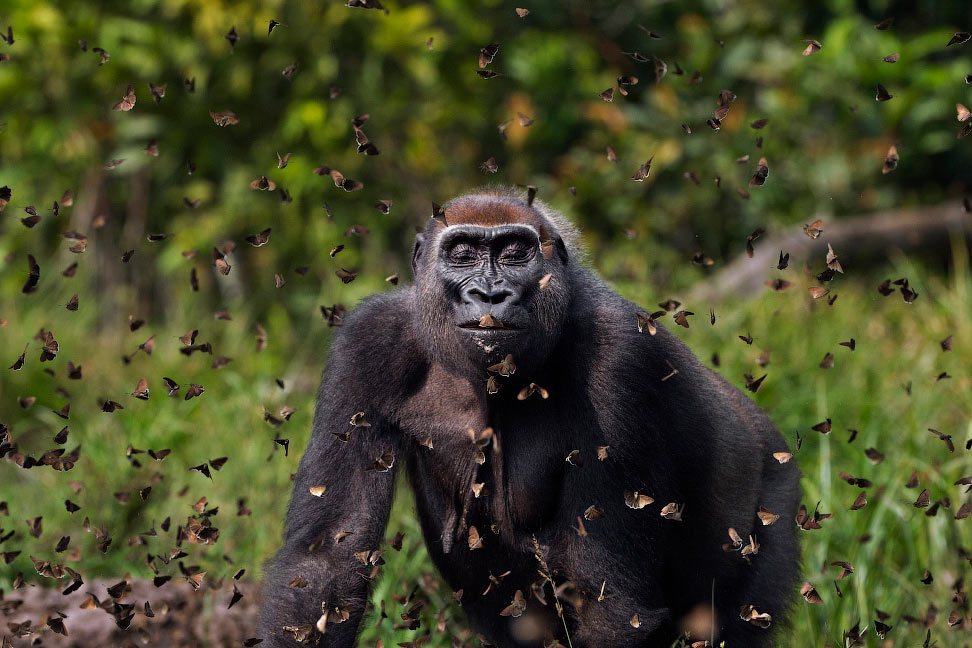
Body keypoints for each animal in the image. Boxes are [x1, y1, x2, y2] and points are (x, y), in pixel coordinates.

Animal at [258, 187, 796, 648]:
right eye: (462, 254)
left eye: (515, 253)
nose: (490, 295)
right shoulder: (367, 343)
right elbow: (327, 561)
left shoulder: (621, 353)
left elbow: (612, 607)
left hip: (775, 491)